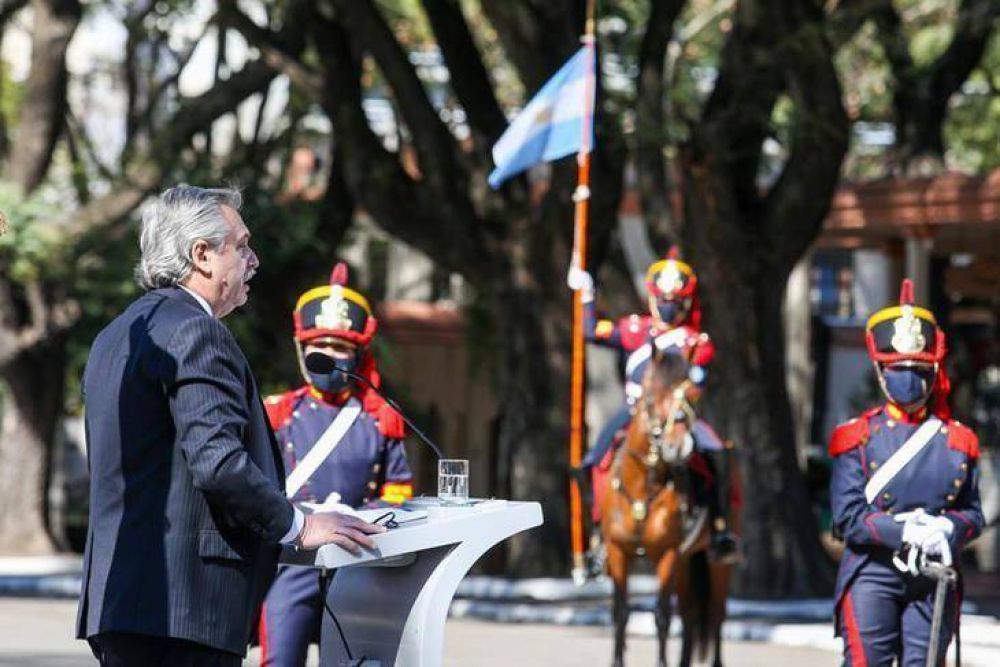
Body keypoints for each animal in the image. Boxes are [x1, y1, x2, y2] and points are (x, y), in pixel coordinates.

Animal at [596, 352, 740, 664]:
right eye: (652, 394)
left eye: (694, 395)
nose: (678, 446)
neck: (644, 487)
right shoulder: (618, 550)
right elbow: (620, 613)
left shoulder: (668, 554)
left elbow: (662, 616)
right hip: (686, 562)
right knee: (689, 614)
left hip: (715, 562)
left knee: (715, 614)